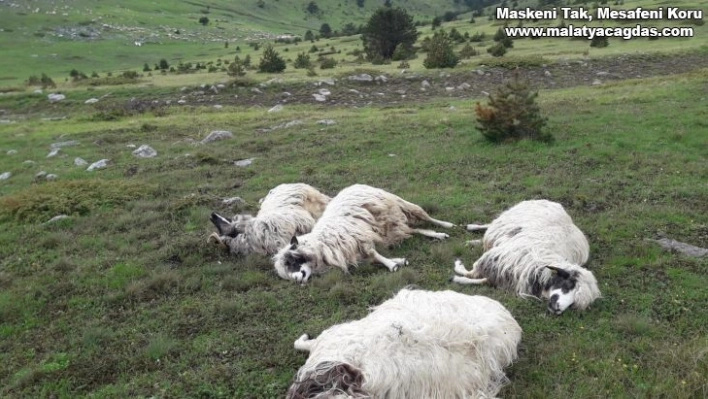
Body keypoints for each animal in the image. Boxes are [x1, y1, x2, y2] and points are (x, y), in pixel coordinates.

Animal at [268, 184, 456, 284]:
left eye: (292, 261)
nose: (298, 279)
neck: (320, 244)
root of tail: (353, 186)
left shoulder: (358, 238)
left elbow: (374, 254)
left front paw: (392, 265)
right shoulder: (353, 252)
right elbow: (373, 259)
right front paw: (399, 260)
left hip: (397, 205)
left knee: (423, 215)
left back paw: (446, 226)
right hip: (391, 226)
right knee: (414, 230)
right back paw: (437, 235)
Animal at [450, 200, 600, 316]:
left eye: (573, 303)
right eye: (569, 285)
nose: (558, 309)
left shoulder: (503, 276)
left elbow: (479, 280)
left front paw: (459, 278)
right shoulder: (493, 259)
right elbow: (471, 272)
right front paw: (457, 267)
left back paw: (473, 240)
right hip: (506, 220)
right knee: (489, 226)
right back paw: (471, 228)